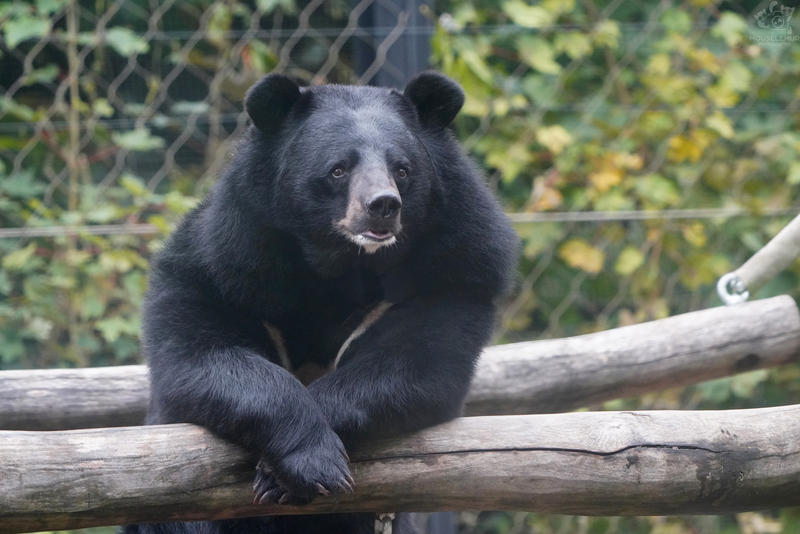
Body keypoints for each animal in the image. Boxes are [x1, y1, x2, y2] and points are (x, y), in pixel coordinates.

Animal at [126, 72, 520, 534]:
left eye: (402, 169)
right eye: (338, 169)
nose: (382, 206)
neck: (340, 266)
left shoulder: (451, 271)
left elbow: (416, 365)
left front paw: (285, 476)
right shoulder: (221, 270)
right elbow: (202, 360)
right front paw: (312, 462)